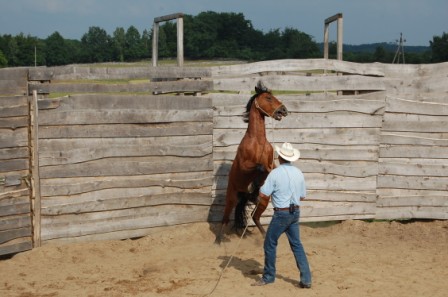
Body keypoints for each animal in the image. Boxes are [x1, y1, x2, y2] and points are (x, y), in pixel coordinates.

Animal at [216, 81, 288, 243]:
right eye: (268, 98)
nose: (283, 110)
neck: (258, 142)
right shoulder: (244, 165)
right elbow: (260, 167)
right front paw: (253, 183)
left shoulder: (271, 163)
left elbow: (270, 169)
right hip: (231, 198)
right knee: (224, 219)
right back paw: (219, 240)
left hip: (264, 201)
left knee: (255, 217)